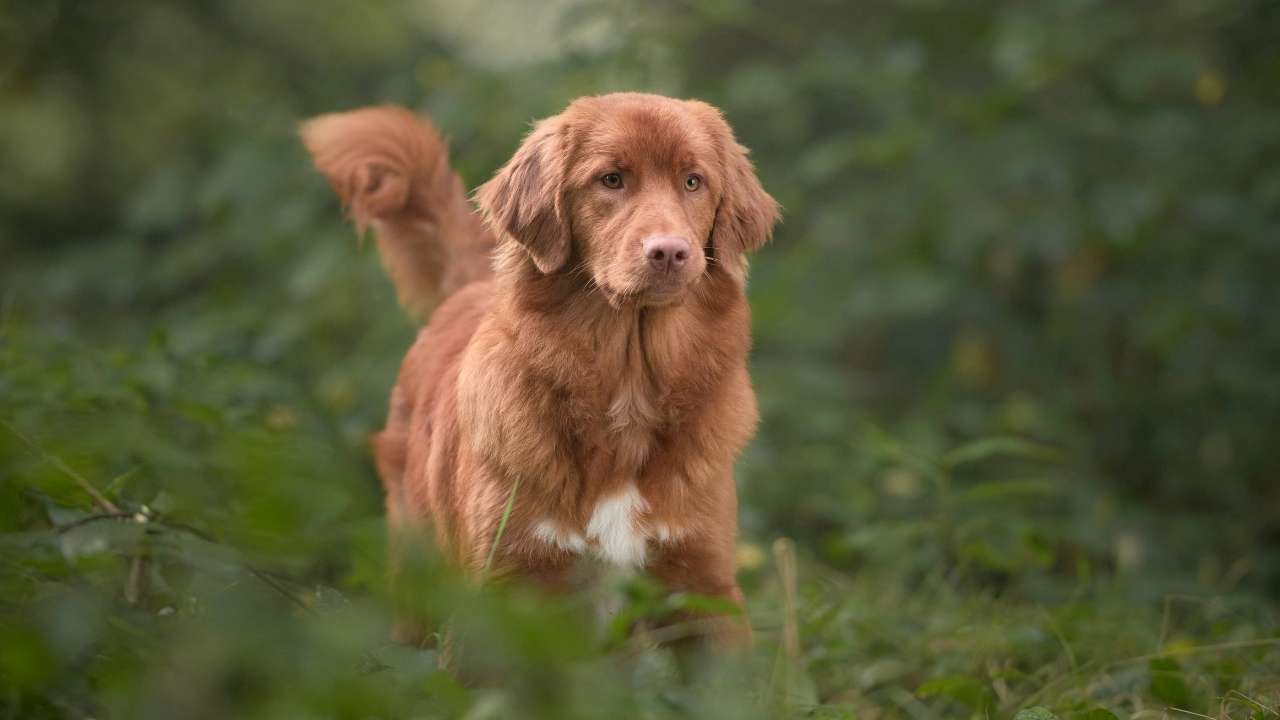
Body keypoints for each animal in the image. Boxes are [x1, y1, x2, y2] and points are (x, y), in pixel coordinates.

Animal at [302, 90, 778, 645]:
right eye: (611, 179)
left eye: (693, 181)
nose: (670, 252)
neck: (628, 383)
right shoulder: (505, 589)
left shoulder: (702, 589)